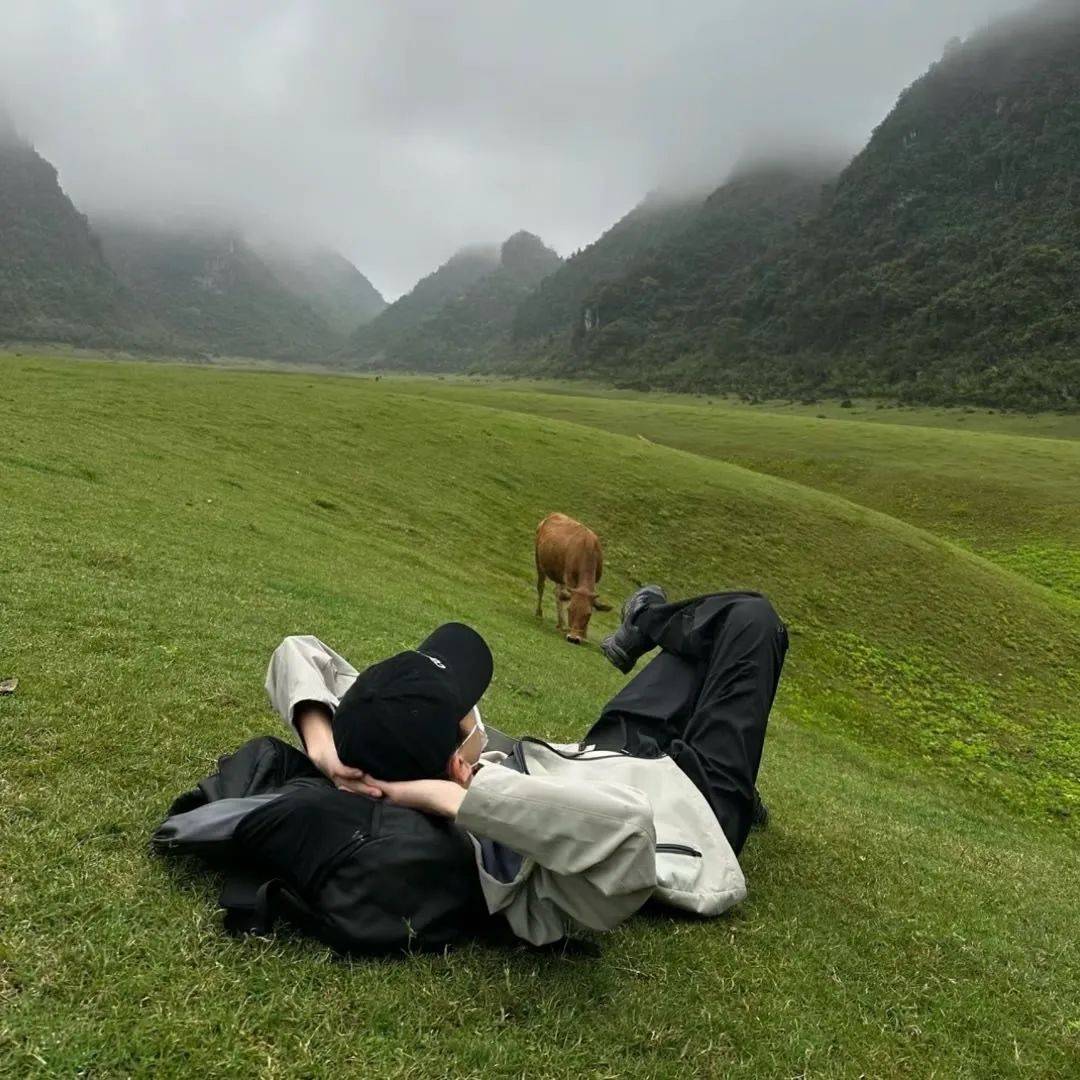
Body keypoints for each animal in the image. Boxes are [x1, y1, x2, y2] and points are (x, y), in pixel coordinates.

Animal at [535, 511, 613, 643]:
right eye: (570, 610)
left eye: (588, 614)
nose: (573, 638)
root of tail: (552, 514)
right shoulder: (569, 578)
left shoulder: (595, 580)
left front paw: (584, 634)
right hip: (539, 562)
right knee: (541, 586)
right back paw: (540, 613)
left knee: (557, 593)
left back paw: (560, 624)